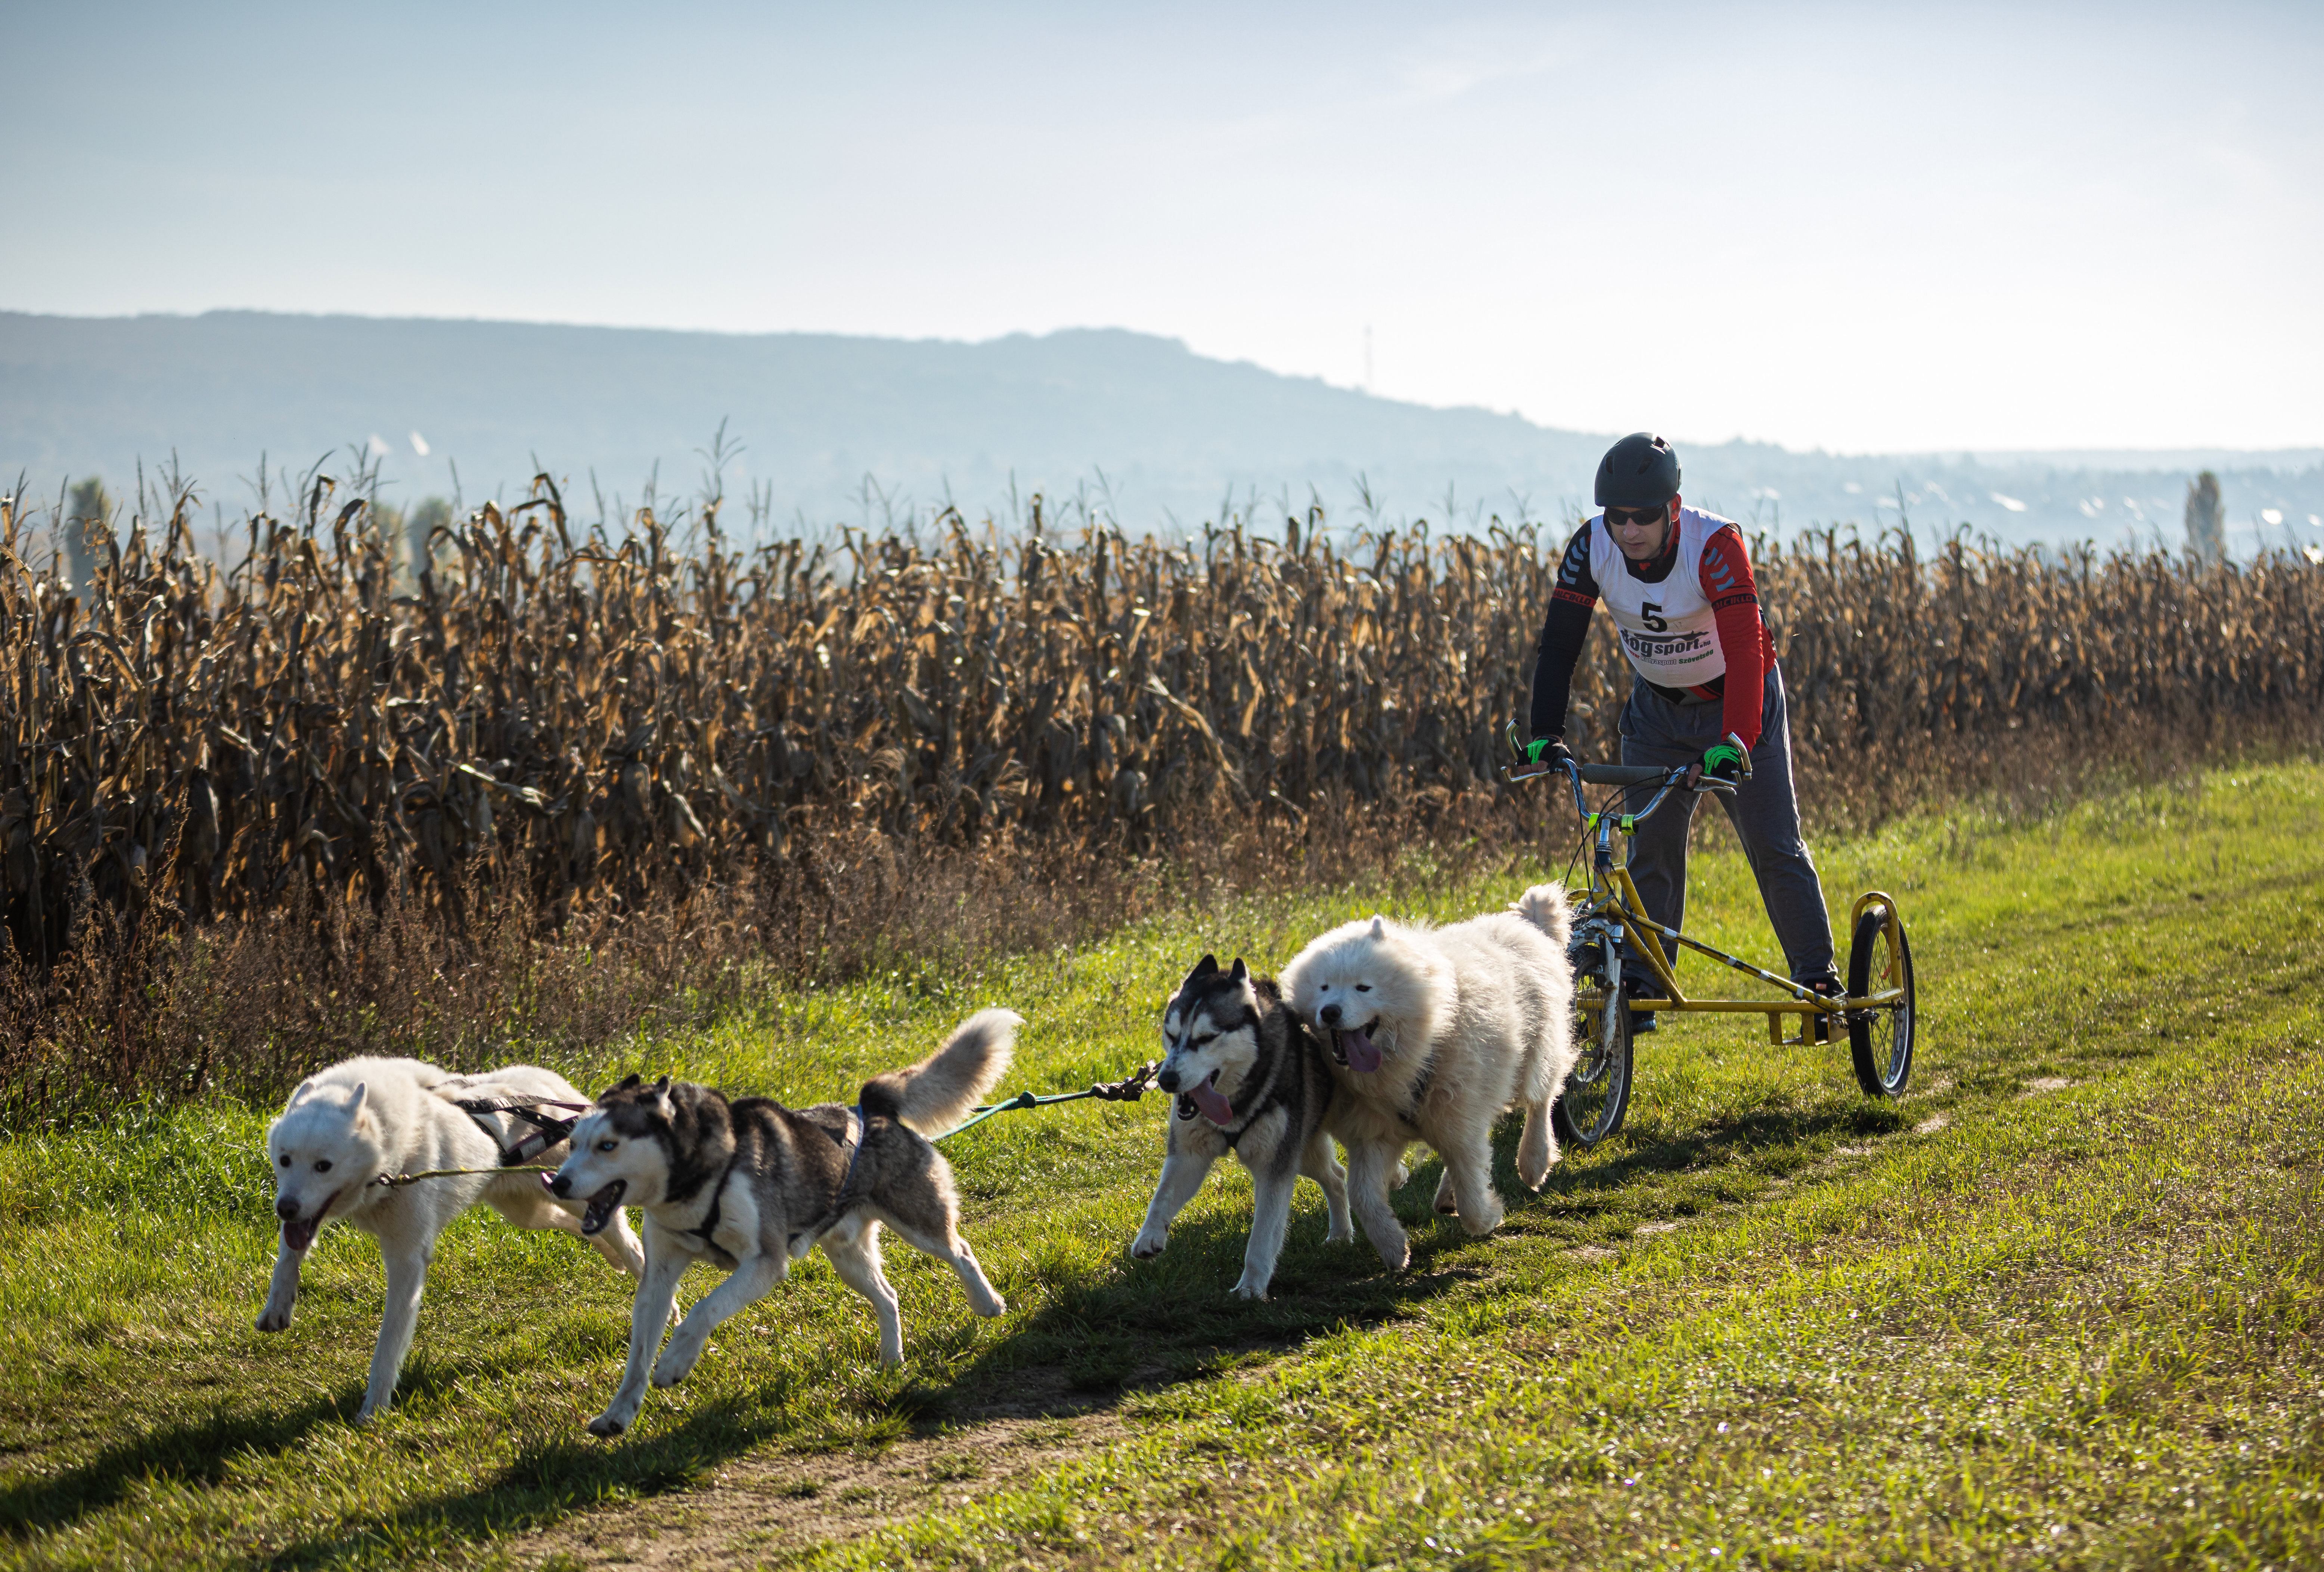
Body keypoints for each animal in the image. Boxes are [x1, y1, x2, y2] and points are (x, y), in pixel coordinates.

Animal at [259, 1054, 651, 1421]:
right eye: (285, 1160)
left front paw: (374, 1409)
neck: (389, 1148)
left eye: (324, 1166)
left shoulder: (406, 1259)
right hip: (526, 1213)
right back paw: (611, 1258)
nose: (286, 1209)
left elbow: (388, 1345)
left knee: (629, 1244)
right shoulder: (306, 1221)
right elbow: (288, 1257)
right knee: (577, 1226)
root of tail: (557, 1086)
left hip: (567, 1198)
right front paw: (277, 1308)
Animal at [1273, 882, 1580, 1272]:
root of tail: (1526, 925)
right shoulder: (1377, 1132)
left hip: (1533, 1058)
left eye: (1363, 988)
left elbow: (1470, 1191)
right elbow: (1363, 1197)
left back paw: (1533, 1162)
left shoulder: (1457, 1119)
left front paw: (1488, 1217)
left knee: (1541, 1101)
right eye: (1324, 987)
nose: (1329, 1012)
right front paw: (1394, 1248)